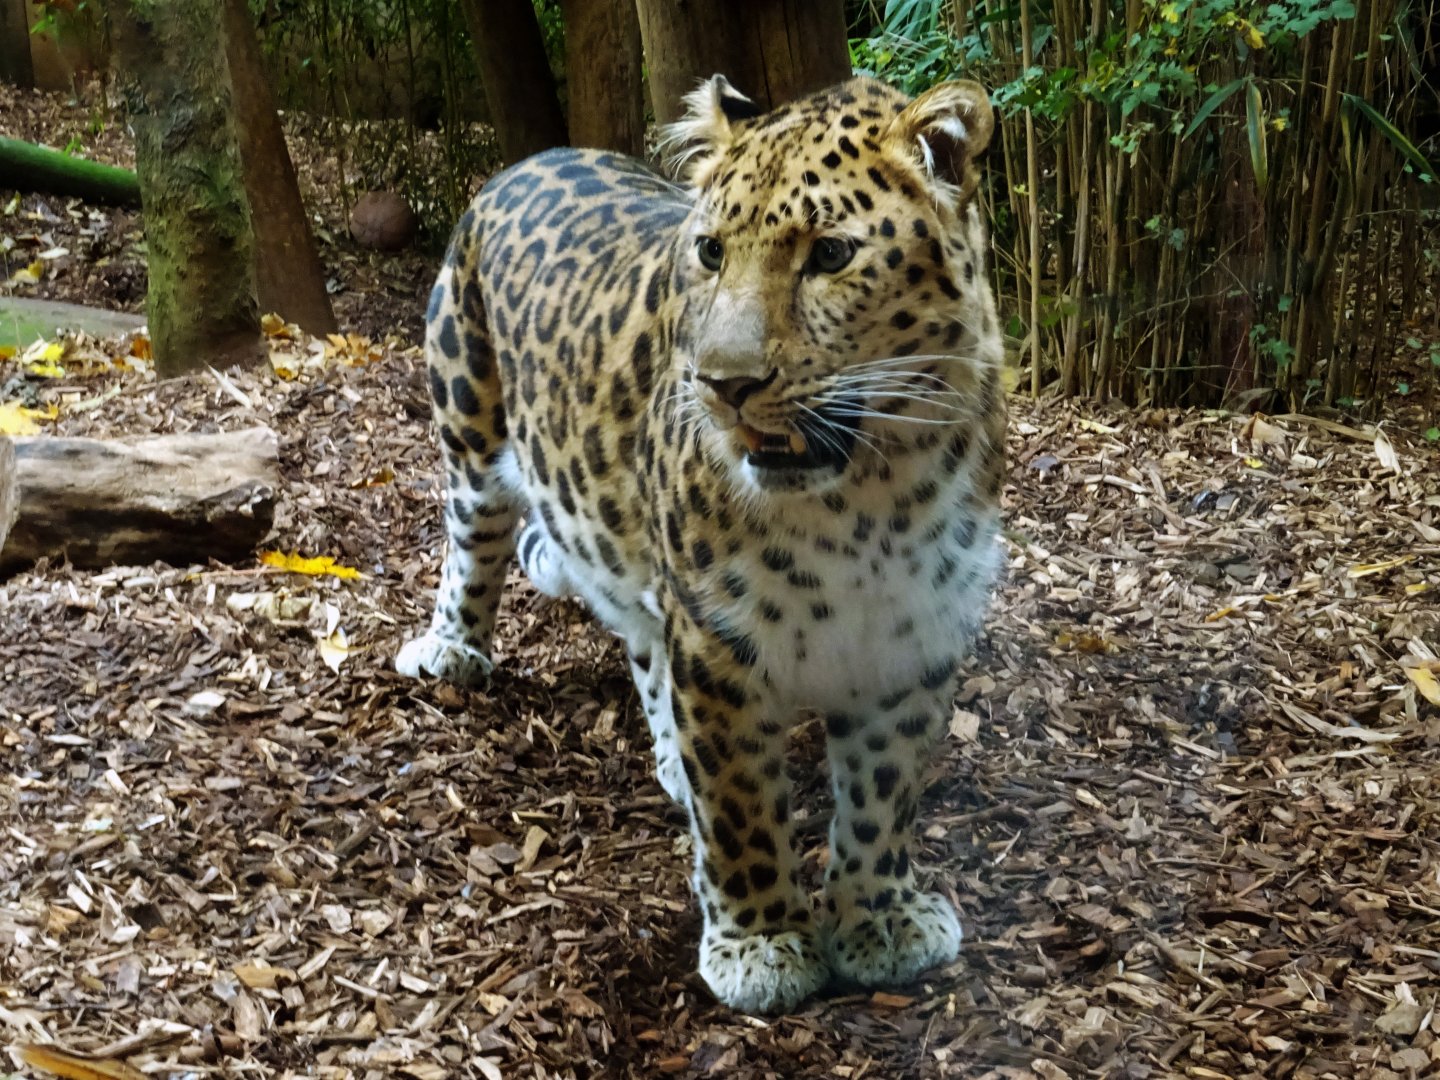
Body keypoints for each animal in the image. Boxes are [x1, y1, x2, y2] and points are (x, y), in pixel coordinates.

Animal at [396, 73, 1007, 1015]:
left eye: (831, 255)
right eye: (712, 252)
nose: (724, 385)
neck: (869, 503)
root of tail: (530, 159)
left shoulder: (917, 633)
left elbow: (884, 794)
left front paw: (881, 919)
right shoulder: (719, 641)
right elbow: (741, 804)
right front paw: (761, 945)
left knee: (643, 640)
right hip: (468, 419)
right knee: (474, 537)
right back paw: (452, 647)